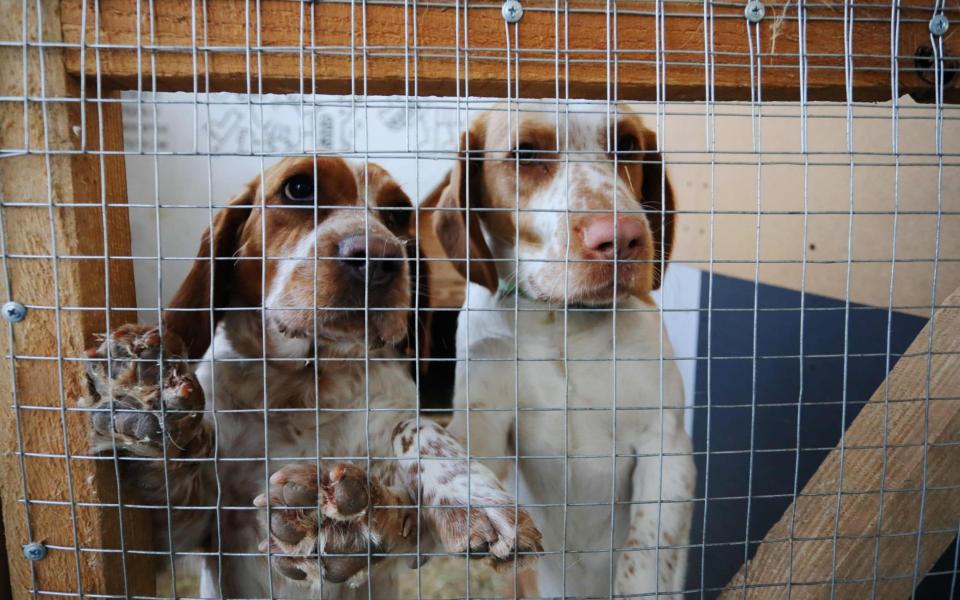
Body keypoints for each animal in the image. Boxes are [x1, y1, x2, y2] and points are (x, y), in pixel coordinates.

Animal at [432, 103, 692, 596]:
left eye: (626, 143)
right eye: (525, 153)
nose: (622, 237)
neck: (562, 326)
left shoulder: (665, 448)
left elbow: (644, 553)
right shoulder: (483, 427)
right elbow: (435, 448)